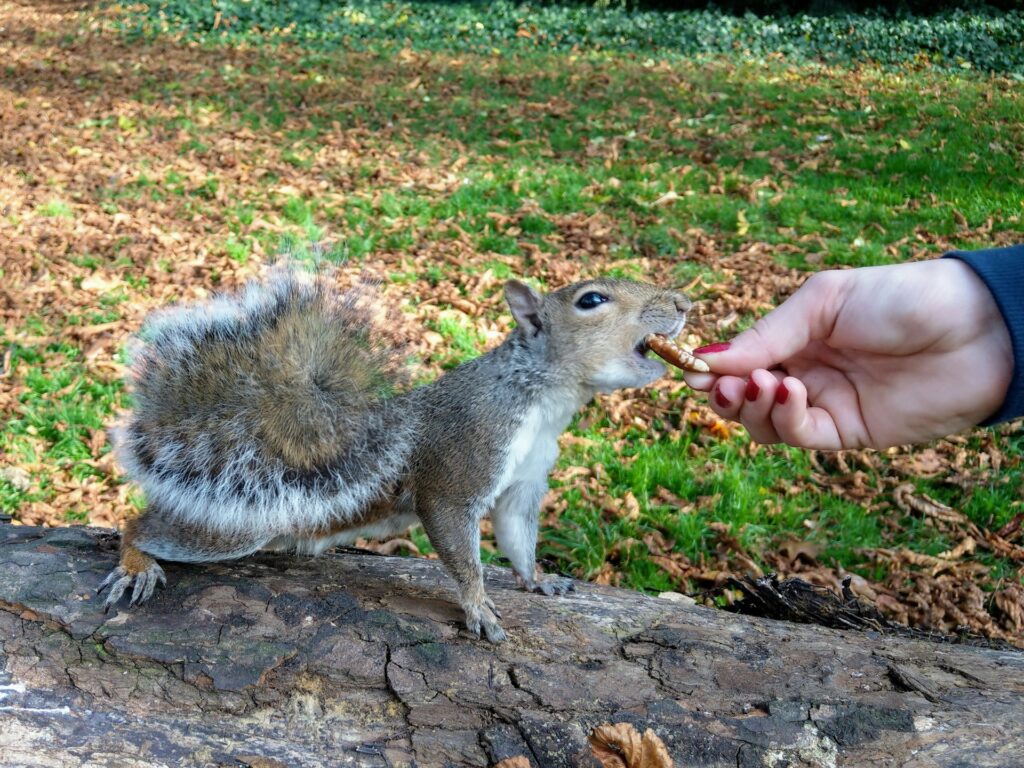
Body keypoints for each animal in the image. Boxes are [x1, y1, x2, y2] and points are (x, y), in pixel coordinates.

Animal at [99, 268, 692, 643]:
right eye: (591, 300)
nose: (684, 304)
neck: (545, 397)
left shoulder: (523, 486)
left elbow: (517, 538)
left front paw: (538, 579)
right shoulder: (462, 459)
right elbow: (458, 542)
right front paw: (478, 606)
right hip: (234, 530)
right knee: (142, 524)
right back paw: (135, 561)